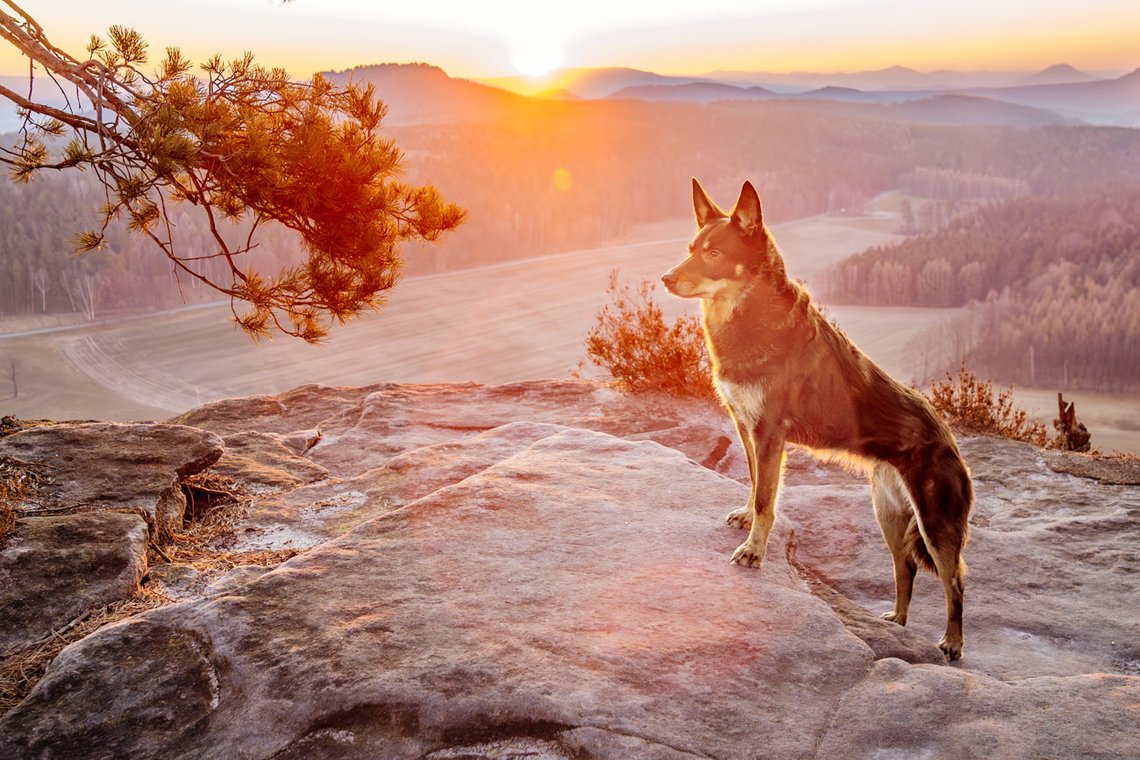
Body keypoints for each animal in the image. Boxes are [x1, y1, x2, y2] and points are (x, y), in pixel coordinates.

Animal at [665, 180, 975, 660]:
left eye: (714, 253)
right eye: (692, 249)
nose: (667, 278)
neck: (749, 313)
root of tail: (950, 439)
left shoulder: (769, 434)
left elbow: (766, 499)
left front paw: (754, 551)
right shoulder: (747, 428)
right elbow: (756, 486)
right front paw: (747, 521)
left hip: (936, 524)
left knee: (954, 581)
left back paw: (952, 641)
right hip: (888, 516)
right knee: (904, 568)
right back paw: (897, 620)